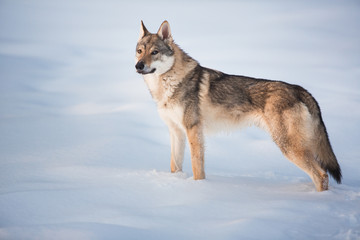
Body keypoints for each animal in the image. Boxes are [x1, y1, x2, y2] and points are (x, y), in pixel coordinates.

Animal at [134, 20, 340, 191]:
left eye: (154, 52)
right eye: (139, 51)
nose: (138, 66)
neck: (168, 84)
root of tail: (299, 89)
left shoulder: (194, 130)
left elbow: (197, 167)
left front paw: (199, 189)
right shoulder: (176, 131)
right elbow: (175, 166)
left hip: (288, 147)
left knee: (321, 175)